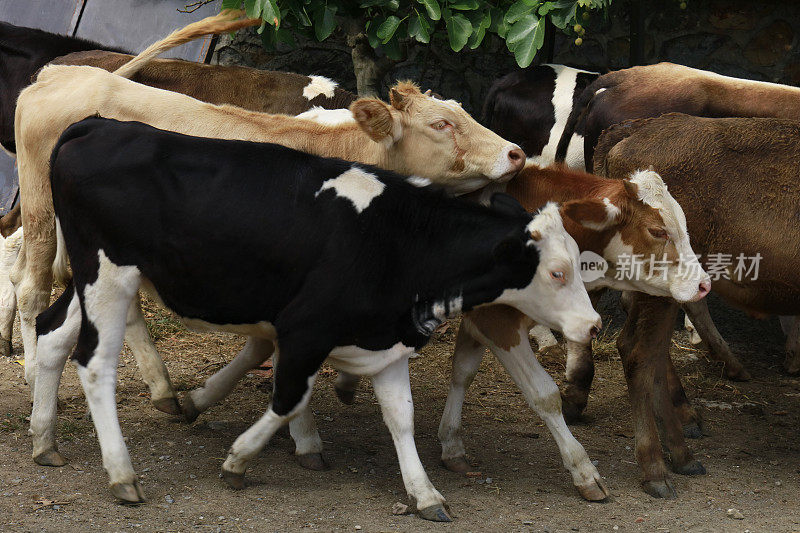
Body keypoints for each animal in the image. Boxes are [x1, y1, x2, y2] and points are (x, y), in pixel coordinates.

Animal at [36, 117, 600, 520]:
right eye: (556, 272)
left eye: (578, 262)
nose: (593, 325)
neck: (397, 239)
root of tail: (100, 125)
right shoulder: (306, 328)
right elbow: (288, 398)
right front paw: (239, 459)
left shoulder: (387, 338)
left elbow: (401, 416)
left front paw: (424, 493)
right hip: (109, 274)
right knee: (94, 363)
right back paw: (122, 474)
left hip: (91, 278)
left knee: (50, 332)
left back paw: (45, 440)